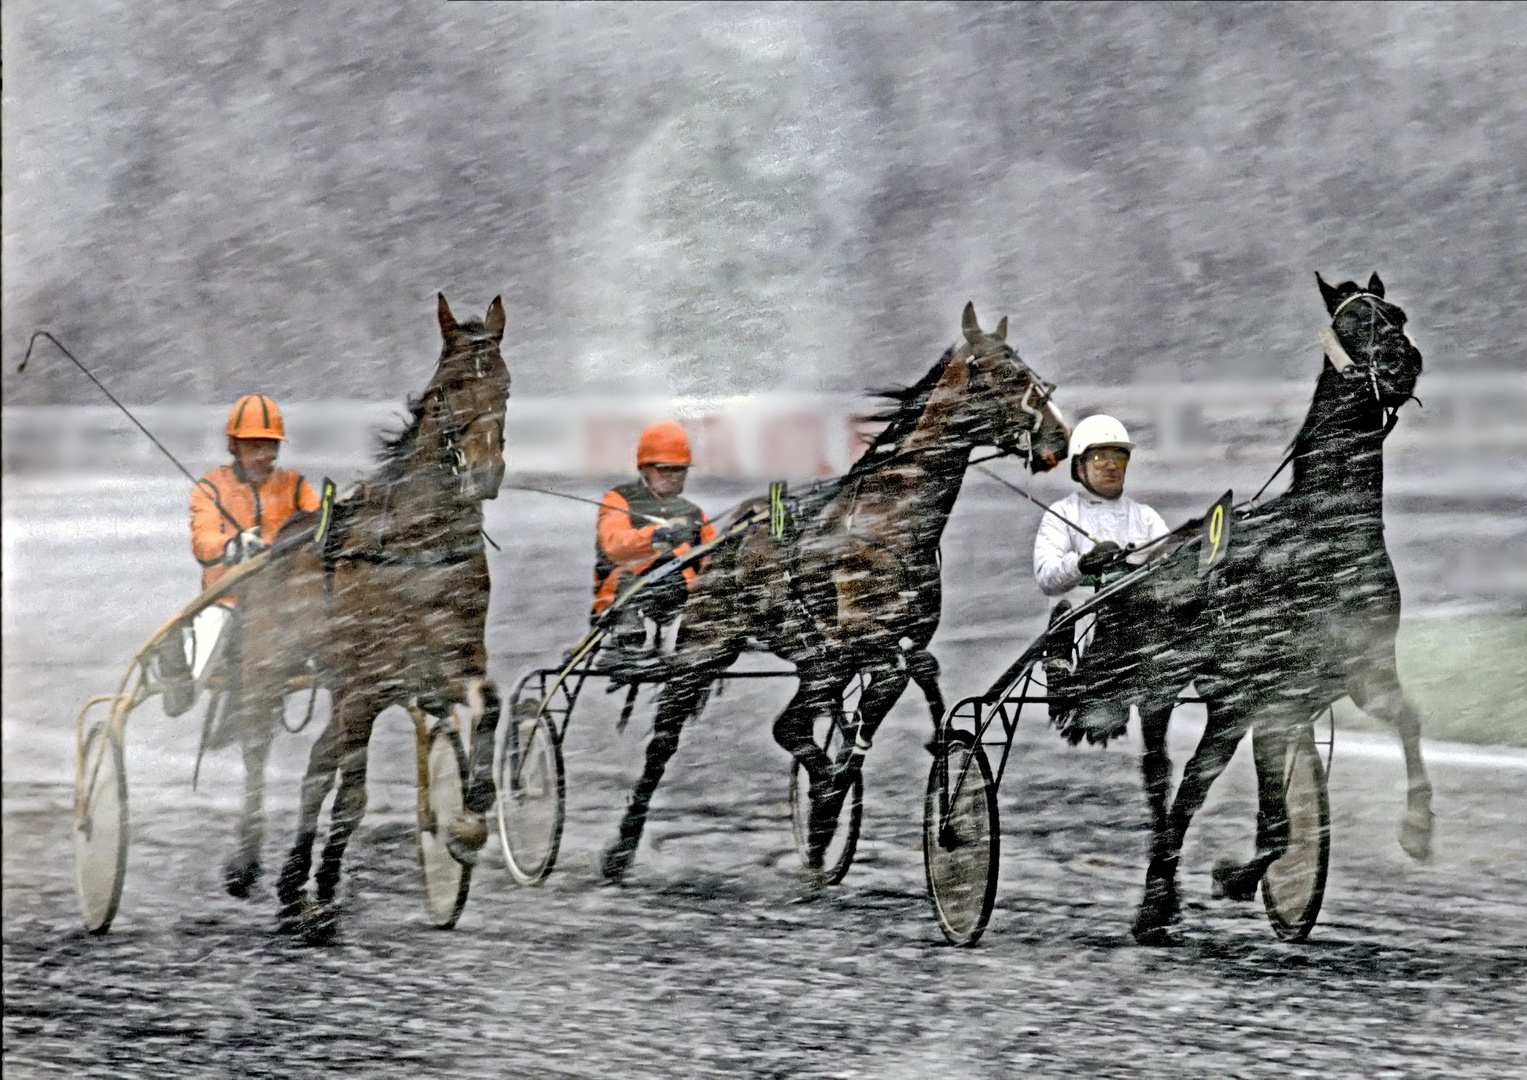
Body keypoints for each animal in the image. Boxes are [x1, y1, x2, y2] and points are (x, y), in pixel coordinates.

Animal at [221, 293, 510, 934]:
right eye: (447, 389)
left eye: (505, 386)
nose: (484, 472)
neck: (419, 549)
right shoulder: (367, 680)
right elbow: (350, 797)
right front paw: (321, 895)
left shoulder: (442, 668)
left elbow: (491, 704)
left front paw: (467, 826)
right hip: (275, 668)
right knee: (260, 753)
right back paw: (249, 866)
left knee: (316, 767)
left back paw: (294, 884)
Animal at [598, 302, 1075, 885]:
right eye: (1001, 372)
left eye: (1029, 370)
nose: (1059, 437)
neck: (890, 525)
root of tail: (725, 536)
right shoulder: (859, 645)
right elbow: (870, 704)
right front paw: (830, 804)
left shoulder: (879, 651)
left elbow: (888, 703)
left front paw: (828, 817)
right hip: (706, 646)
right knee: (665, 740)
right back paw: (621, 849)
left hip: (815, 663)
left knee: (791, 722)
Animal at [1056, 271, 1423, 947]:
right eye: (1353, 322)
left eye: (1399, 315)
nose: (1401, 360)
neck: (1323, 536)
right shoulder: (1264, 699)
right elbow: (1256, 820)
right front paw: (1220, 882)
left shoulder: (1352, 681)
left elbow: (1403, 726)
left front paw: (1418, 829)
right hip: (1163, 688)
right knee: (1163, 781)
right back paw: (1156, 901)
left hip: (1226, 707)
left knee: (1190, 789)